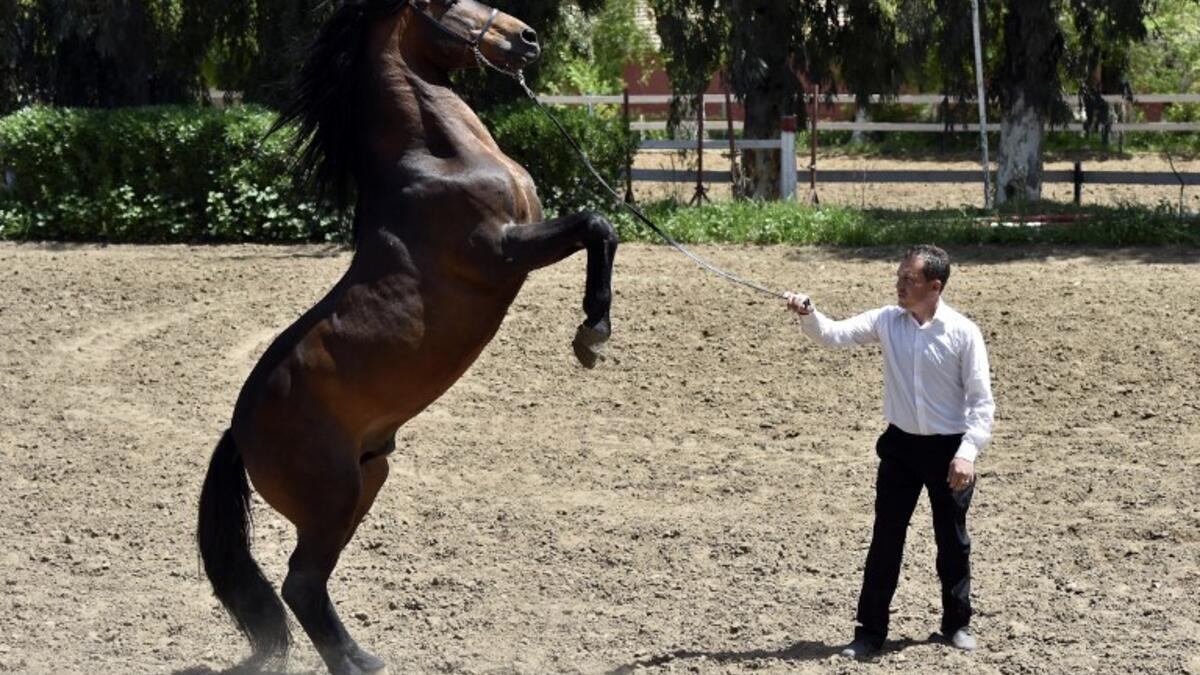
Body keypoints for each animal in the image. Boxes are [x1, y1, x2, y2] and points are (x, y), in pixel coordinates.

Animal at [196, 1, 618, 673]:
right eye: (446, 3)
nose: (526, 38)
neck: (439, 162)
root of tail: (239, 431)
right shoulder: (502, 254)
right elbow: (595, 223)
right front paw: (591, 333)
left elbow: (599, 227)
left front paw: (594, 332)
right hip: (335, 495)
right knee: (299, 582)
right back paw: (353, 663)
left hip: (368, 480)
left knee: (308, 583)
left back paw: (364, 657)